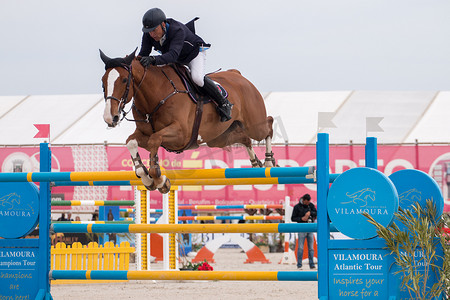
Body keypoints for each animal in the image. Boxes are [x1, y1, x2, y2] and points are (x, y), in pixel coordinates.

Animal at [100, 48, 276, 195]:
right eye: (103, 81)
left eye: (124, 80)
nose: (110, 118)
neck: (156, 96)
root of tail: (238, 75)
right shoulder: (143, 134)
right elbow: (131, 142)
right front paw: (147, 179)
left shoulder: (180, 136)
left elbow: (154, 140)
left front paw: (160, 180)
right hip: (219, 138)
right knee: (245, 138)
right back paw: (256, 164)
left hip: (254, 125)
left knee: (268, 124)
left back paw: (269, 163)